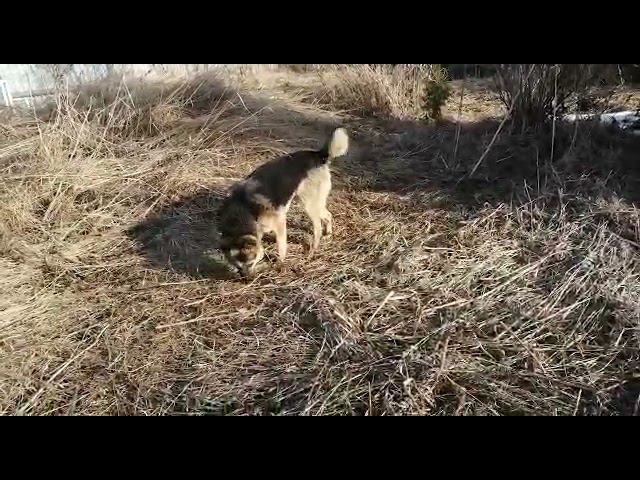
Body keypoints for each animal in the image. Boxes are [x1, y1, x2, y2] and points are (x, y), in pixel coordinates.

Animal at [217, 127, 349, 276]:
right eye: (238, 267)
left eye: (251, 263)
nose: (247, 278)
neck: (245, 209)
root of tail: (318, 155)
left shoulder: (279, 222)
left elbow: (281, 246)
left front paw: (280, 262)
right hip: (312, 201)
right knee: (328, 215)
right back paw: (329, 234)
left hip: (308, 205)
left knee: (317, 228)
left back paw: (313, 249)